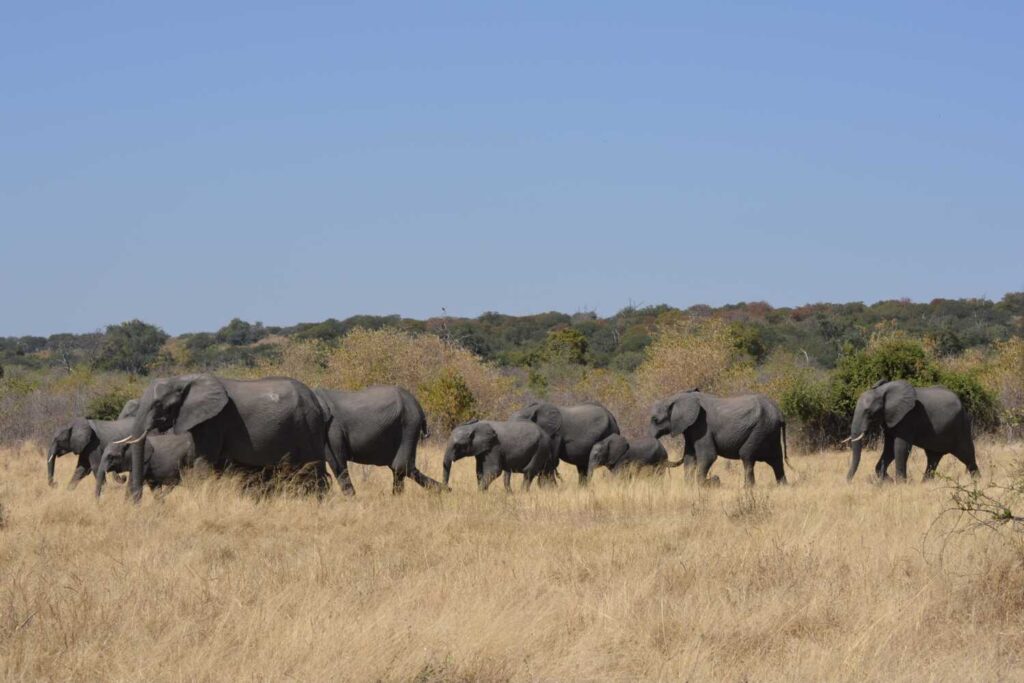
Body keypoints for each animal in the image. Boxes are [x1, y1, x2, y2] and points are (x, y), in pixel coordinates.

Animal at [105, 374, 331, 502]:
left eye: (158, 405)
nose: (136, 503)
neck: (183, 379)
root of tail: (317, 401)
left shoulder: (214, 420)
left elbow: (203, 461)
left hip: (307, 425)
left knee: (314, 469)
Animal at [649, 389, 789, 487]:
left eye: (655, 420)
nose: (716, 478)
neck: (678, 398)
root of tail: (780, 413)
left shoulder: (702, 426)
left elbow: (708, 456)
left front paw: (705, 485)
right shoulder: (691, 428)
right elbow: (689, 457)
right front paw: (689, 487)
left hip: (761, 428)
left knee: (747, 455)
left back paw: (747, 488)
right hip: (770, 430)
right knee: (776, 459)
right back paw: (783, 486)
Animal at [844, 380, 979, 483]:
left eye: (868, 412)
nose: (848, 482)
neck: (883, 391)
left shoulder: (907, 418)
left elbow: (900, 447)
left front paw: (900, 484)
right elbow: (889, 449)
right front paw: (888, 481)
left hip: (961, 427)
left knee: (967, 456)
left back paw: (977, 481)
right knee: (933, 458)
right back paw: (925, 484)